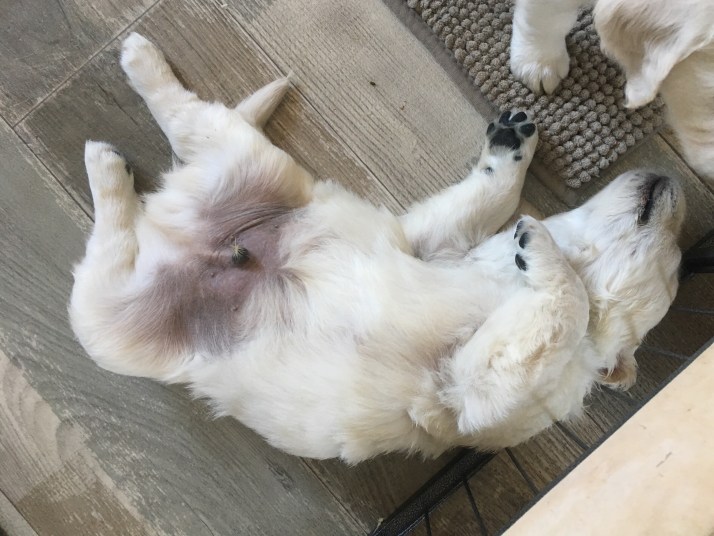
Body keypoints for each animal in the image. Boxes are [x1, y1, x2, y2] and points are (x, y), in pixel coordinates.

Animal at [69, 33, 684, 463]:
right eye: (680, 260)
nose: (675, 180)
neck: (505, 278)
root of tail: (178, 231)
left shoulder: (475, 390)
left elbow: (568, 304)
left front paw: (543, 253)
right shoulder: (432, 243)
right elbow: (491, 197)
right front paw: (511, 148)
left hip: (116, 315)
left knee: (125, 222)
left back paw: (109, 152)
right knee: (183, 128)